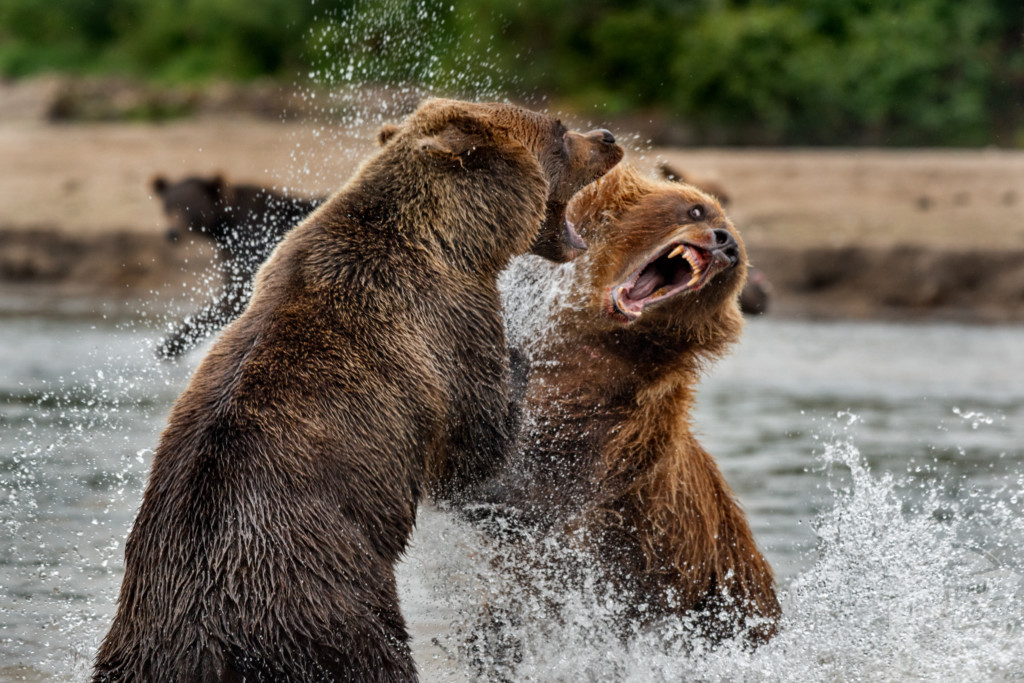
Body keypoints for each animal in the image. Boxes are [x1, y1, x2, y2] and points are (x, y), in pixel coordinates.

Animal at [94, 97, 622, 683]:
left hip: (141, 641)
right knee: (377, 654)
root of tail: (204, 635)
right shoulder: (450, 325)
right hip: (325, 604)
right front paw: (519, 359)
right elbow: (471, 449)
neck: (456, 239)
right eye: (559, 130)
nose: (608, 137)